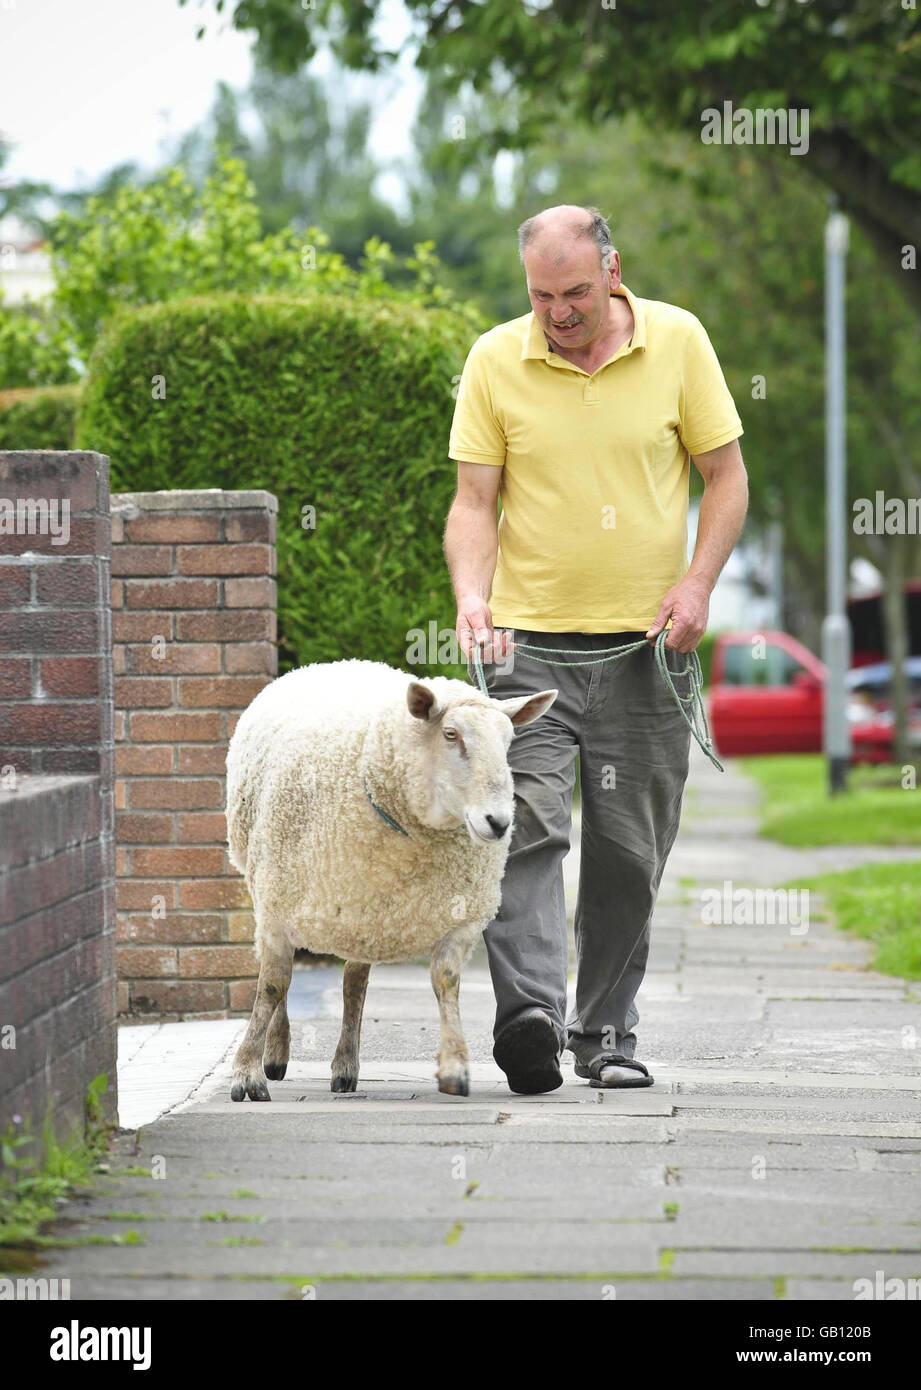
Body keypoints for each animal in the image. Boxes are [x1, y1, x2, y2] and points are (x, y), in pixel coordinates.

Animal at [226, 656, 558, 1100]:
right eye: (451, 734)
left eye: (508, 742)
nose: (499, 823)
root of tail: (337, 663)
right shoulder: (278, 905)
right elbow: (273, 986)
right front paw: (247, 1072)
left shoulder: (461, 920)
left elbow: (446, 981)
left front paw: (455, 1066)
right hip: (271, 883)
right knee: (282, 979)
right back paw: (276, 1053)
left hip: (365, 913)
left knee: (354, 983)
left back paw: (345, 1066)